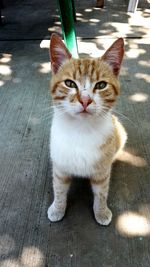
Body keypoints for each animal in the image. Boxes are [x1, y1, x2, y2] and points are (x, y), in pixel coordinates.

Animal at [47, 33, 126, 226]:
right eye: (69, 83)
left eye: (101, 85)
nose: (85, 100)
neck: (81, 130)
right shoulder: (60, 167)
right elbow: (59, 189)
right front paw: (57, 208)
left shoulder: (102, 173)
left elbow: (102, 193)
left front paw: (101, 212)